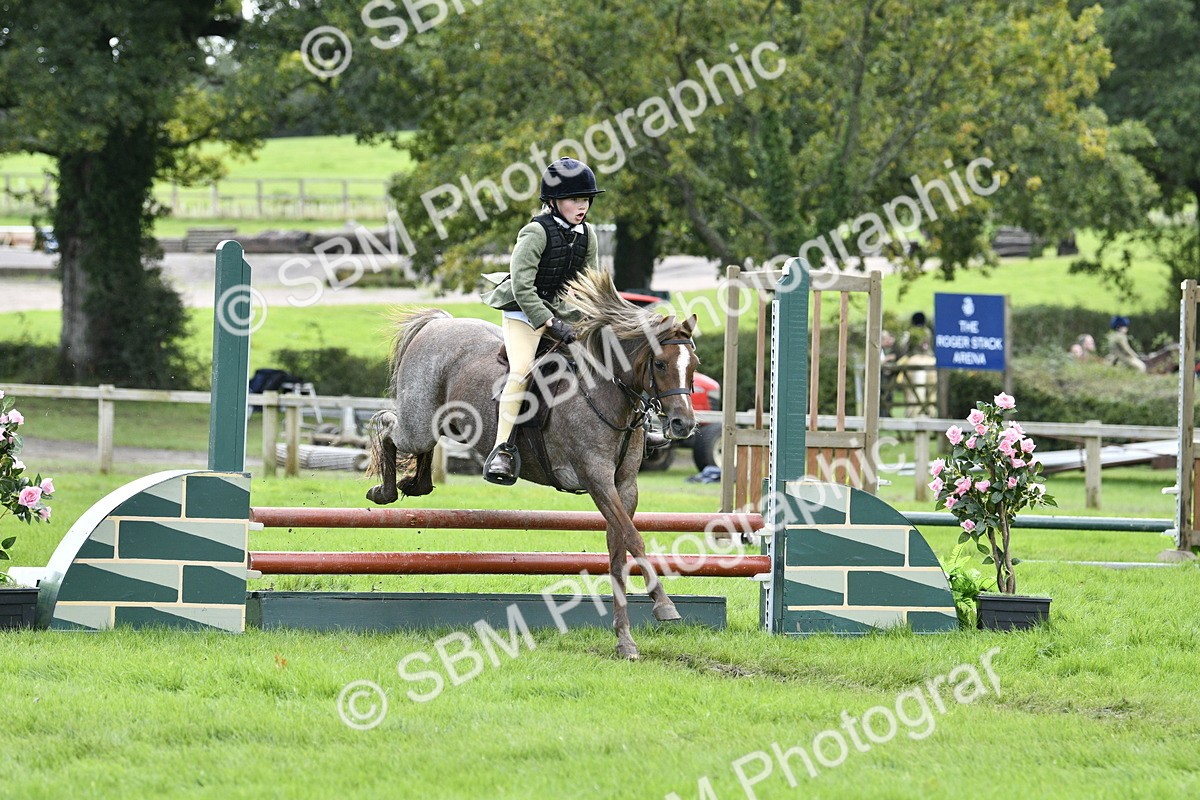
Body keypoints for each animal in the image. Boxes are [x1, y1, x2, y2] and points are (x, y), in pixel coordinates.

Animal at [365, 269, 699, 659]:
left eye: (693, 366)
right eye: (660, 364)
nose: (683, 424)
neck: (604, 392)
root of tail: (439, 323)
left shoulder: (624, 486)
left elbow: (619, 553)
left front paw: (625, 640)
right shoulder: (596, 478)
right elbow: (635, 539)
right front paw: (664, 605)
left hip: (442, 422)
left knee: (420, 445)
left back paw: (415, 484)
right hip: (418, 422)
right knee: (388, 427)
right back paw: (385, 490)